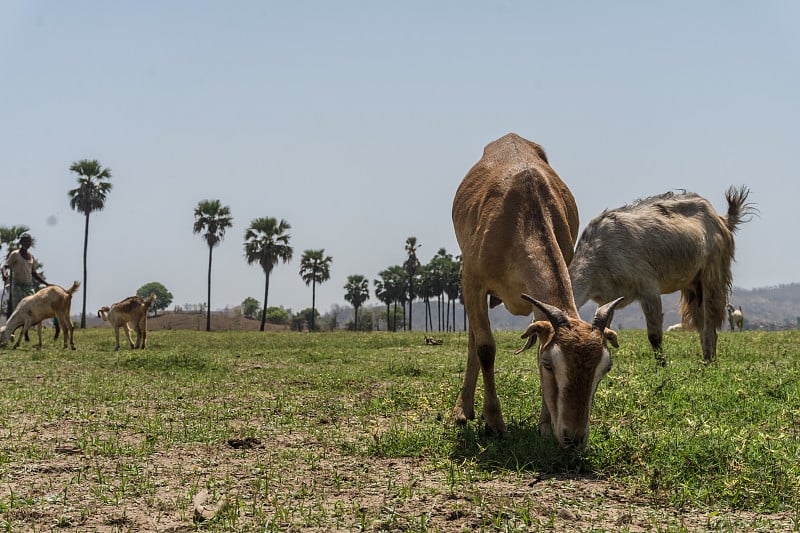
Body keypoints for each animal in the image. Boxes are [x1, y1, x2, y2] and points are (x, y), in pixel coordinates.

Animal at [450, 134, 624, 448]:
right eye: (550, 364)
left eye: (605, 368)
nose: (573, 438)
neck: (521, 209)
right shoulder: (472, 280)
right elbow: (485, 347)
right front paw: (494, 422)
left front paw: (544, 425)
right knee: (473, 338)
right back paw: (462, 410)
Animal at [572, 185, 752, 364]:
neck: (599, 252)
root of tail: (722, 219)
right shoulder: (608, 299)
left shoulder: (648, 287)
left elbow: (654, 335)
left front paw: (662, 366)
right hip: (693, 285)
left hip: (713, 273)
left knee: (710, 323)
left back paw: (709, 362)